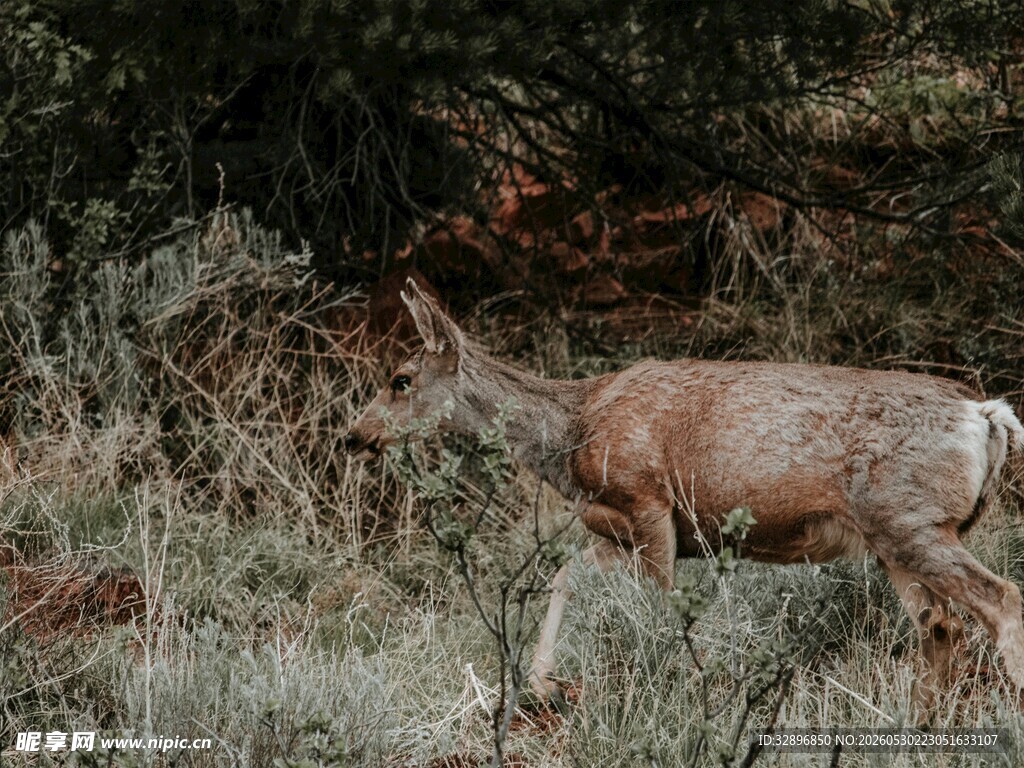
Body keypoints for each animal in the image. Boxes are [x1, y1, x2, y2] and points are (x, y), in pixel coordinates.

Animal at [344, 278, 1024, 715]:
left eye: (400, 379)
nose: (355, 435)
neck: (571, 434)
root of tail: (985, 414)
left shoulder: (646, 501)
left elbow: (662, 606)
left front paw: (681, 687)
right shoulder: (612, 525)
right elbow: (566, 576)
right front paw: (542, 687)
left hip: (910, 520)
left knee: (1000, 600)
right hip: (895, 537)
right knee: (941, 626)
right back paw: (916, 724)